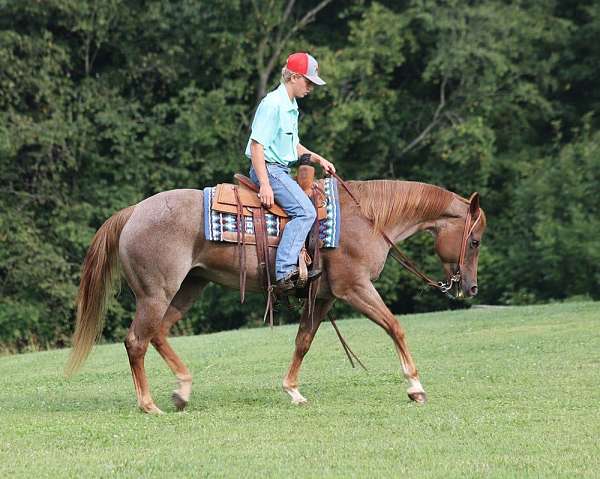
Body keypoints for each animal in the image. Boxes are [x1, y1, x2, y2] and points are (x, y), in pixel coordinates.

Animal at [65, 182, 488, 414]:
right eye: (475, 241)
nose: (470, 288)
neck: (367, 218)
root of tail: (134, 211)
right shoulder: (355, 288)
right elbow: (395, 327)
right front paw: (415, 387)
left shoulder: (324, 296)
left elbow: (303, 341)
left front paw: (293, 391)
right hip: (157, 293)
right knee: (136, 340)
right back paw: (148, 404)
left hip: (188, 287)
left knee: (157, 335)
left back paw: (182, 390)